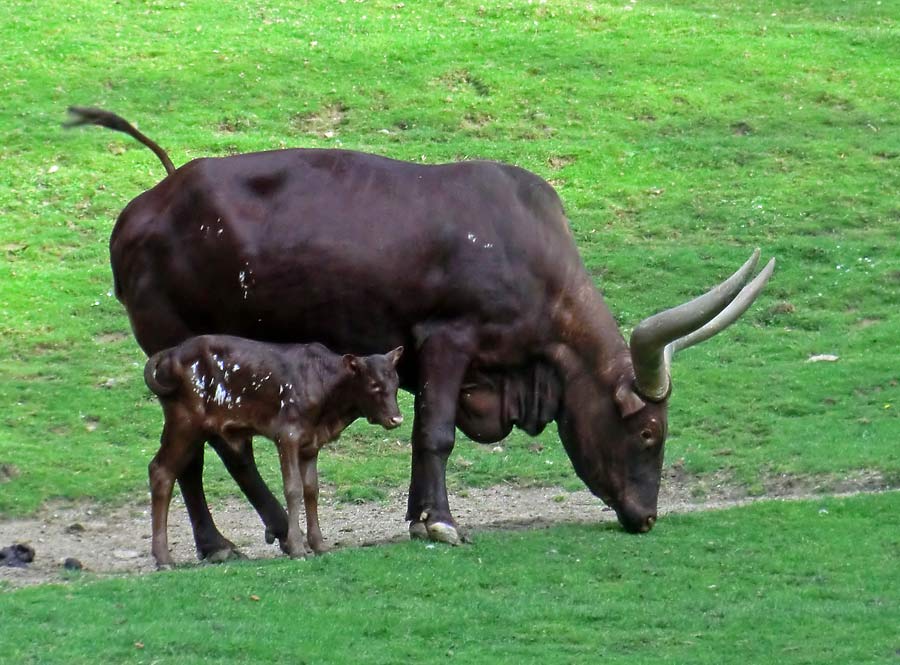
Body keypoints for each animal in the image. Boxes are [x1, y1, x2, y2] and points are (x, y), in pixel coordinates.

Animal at [143, 334, 400, 568]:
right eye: (374, 385)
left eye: (396, 384)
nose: (397, 419)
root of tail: (170, 354)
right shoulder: (287, 435)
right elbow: (293, 489)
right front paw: (297, 548)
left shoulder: (311, 444)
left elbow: (311, 489)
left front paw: (319, 544)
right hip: (184, 423)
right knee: (161, 471)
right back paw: (164, 558)